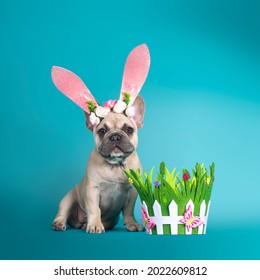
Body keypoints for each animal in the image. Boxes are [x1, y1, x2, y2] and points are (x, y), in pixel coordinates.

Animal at [51, 43, 150, 233]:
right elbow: (94, 209)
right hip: (69, 197)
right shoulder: (92, 190)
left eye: (128, 129)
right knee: (63, 212)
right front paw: (95, 225)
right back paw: (61, 223)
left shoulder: (132, 191)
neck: (116, 166)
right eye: (102, 131)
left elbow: (128, 210)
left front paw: (132, 224)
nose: (115, 137)